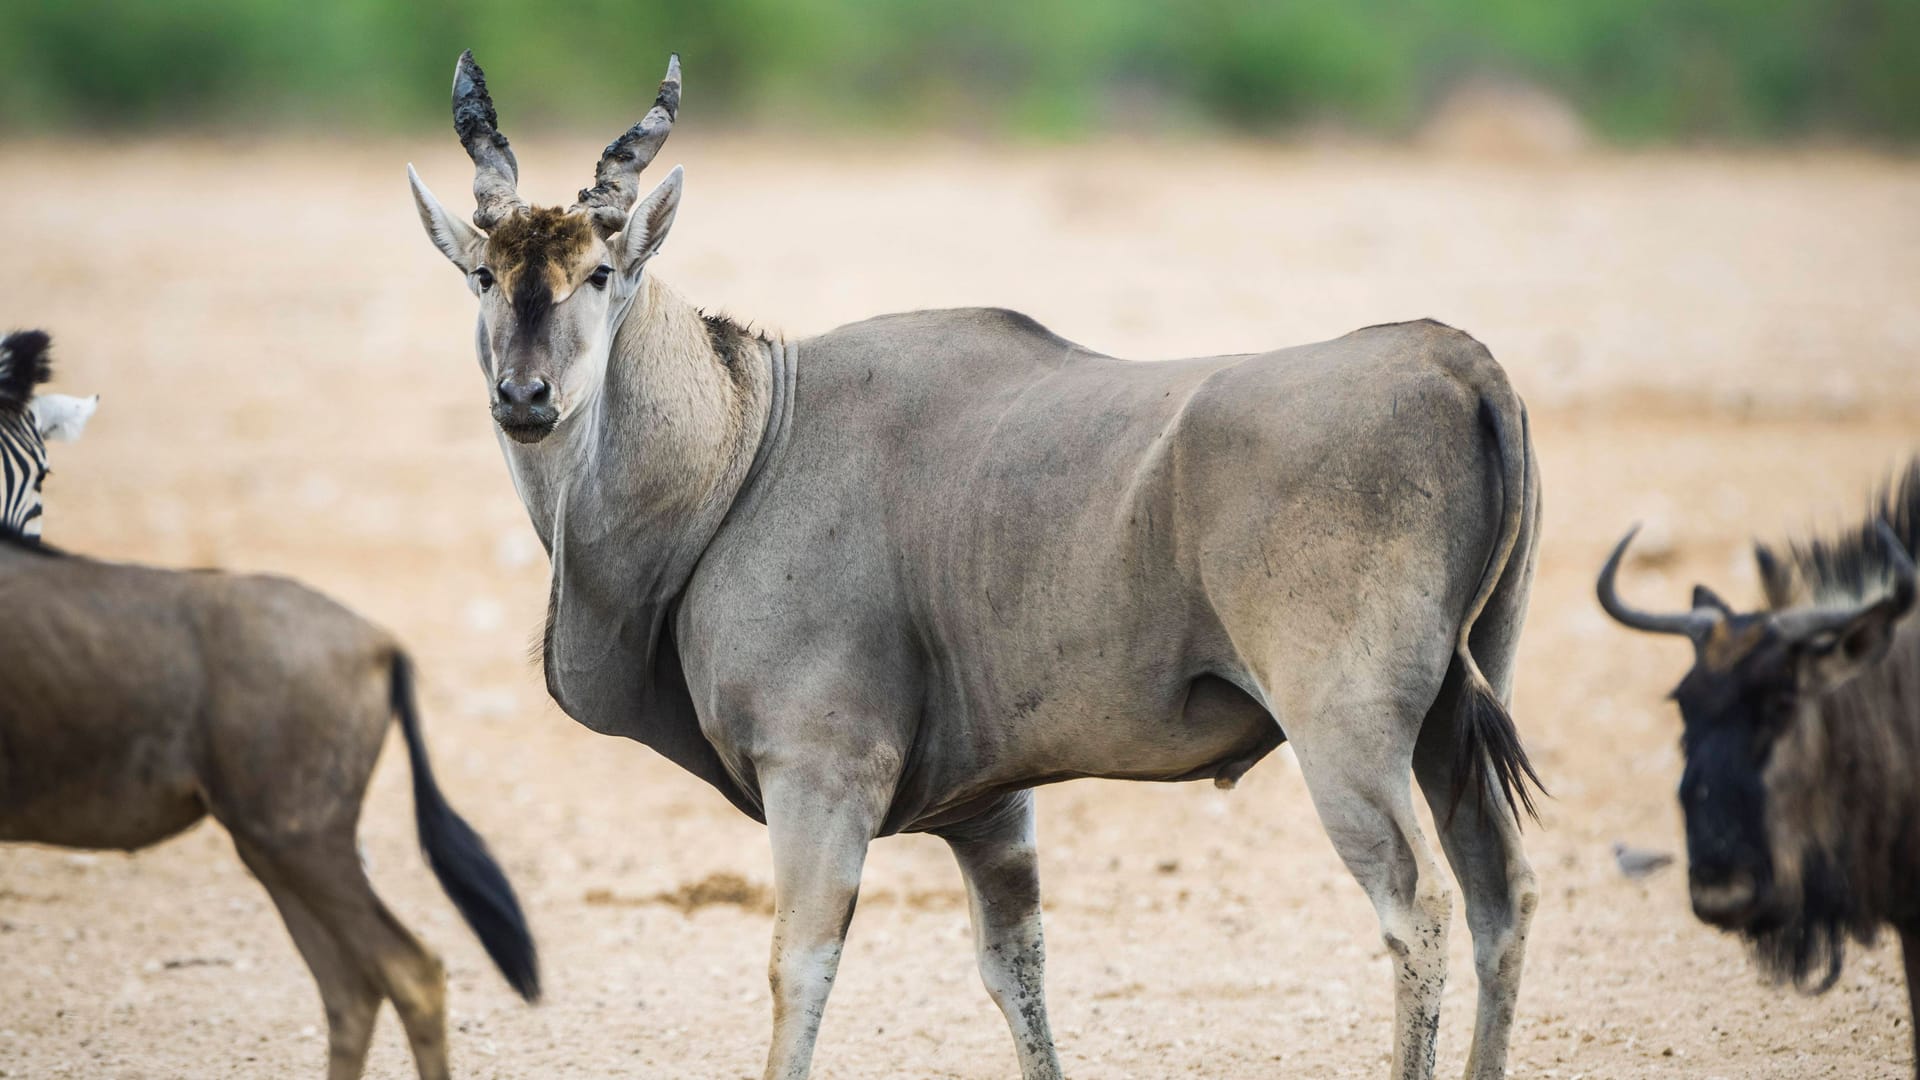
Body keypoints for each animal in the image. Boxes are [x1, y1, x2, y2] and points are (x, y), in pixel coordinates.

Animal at [412, 54, 1551, 1076]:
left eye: (599, 275)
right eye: (483, 274)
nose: (524, 396)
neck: (749, 441)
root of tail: (1457, 362)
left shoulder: (820, 776)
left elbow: (799, 970)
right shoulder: (990, 814)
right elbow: (1019, 974)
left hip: (1346, 737)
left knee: (1419, 907)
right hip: (1452, 722)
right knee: (1502, 896)